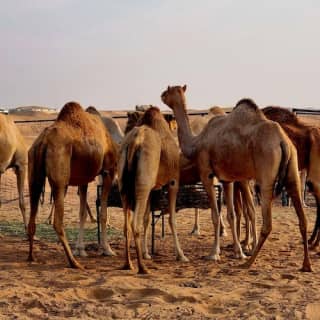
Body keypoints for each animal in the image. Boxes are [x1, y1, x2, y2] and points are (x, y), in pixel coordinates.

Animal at [27, 102, 117, 268]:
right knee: (57, 222)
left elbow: (82, 213)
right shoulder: (108, 171)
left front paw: (81, 249)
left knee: (32, 217)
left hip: (33, 171)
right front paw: (107, 249)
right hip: (60, 178)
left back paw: (31, 257)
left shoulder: (84, 178)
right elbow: (103, 214)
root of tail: (43, 141)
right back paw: (73, 262)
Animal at [117, 106, 188, 274]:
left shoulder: (151, 189)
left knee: (126, 225)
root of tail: (134, 142)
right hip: (144, 181)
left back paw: (128, 264)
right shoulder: (173, 181)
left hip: (127, 186)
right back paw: (142, 268)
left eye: (130, 122)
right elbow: (172, 219)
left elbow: (147, 219)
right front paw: (181, 255)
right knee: (134, 224)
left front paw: (146, 253)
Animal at [161, 84, 312, 270]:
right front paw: (236, 250)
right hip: (292, 169)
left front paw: (214, 254)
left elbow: (215, 214)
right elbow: (231, 214)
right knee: (303, 219)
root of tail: (282, 141)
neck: (197, 142)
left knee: (267, 223)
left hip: (266, 173)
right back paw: (306, 265)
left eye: (168, 91)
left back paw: (249, 262)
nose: (161, 95)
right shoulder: (227, 179)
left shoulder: (206, 173)